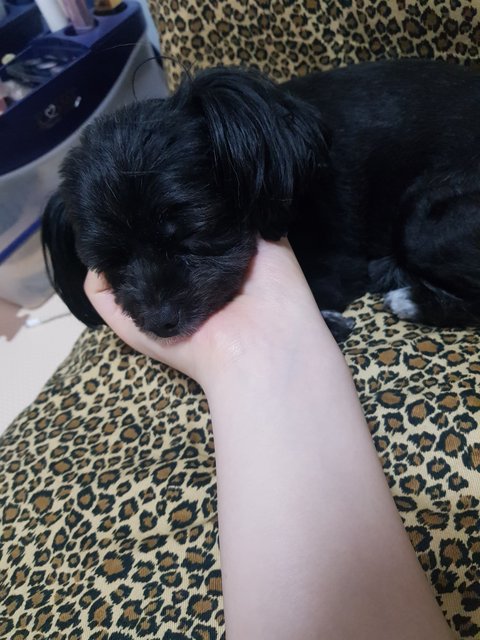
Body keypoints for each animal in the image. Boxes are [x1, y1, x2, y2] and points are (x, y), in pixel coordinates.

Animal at [42, 58, 480, 343]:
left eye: (194, 234)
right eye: (109, 262)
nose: (159, 321)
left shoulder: (337, 264)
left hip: (424, 225)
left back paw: (410, 300)